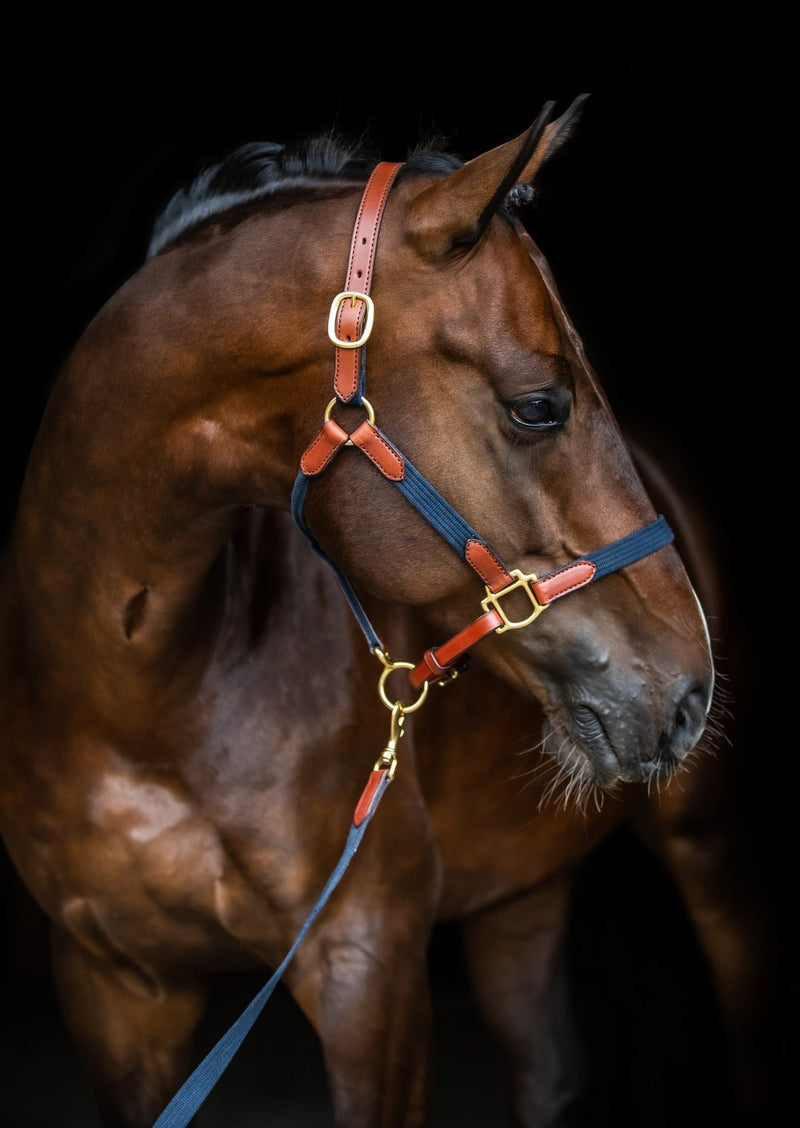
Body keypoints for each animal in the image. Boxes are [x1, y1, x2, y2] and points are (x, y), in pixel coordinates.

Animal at [0, 99, 771, 1128]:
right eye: (539, 405)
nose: (689, 690)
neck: (136, 694)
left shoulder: (370, 973)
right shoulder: (112, 987)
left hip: (711, 855)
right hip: (517, 894)